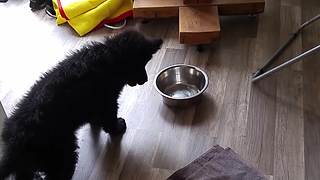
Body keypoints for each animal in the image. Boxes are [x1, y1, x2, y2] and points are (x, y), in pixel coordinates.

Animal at [0, 30, 162, 179]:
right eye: (139, 64)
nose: (145, 80)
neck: (110, 57)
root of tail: (14, 144)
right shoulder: (108, 101)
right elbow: (109, 119)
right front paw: (117, 128)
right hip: (61, 155)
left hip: (33, 163)